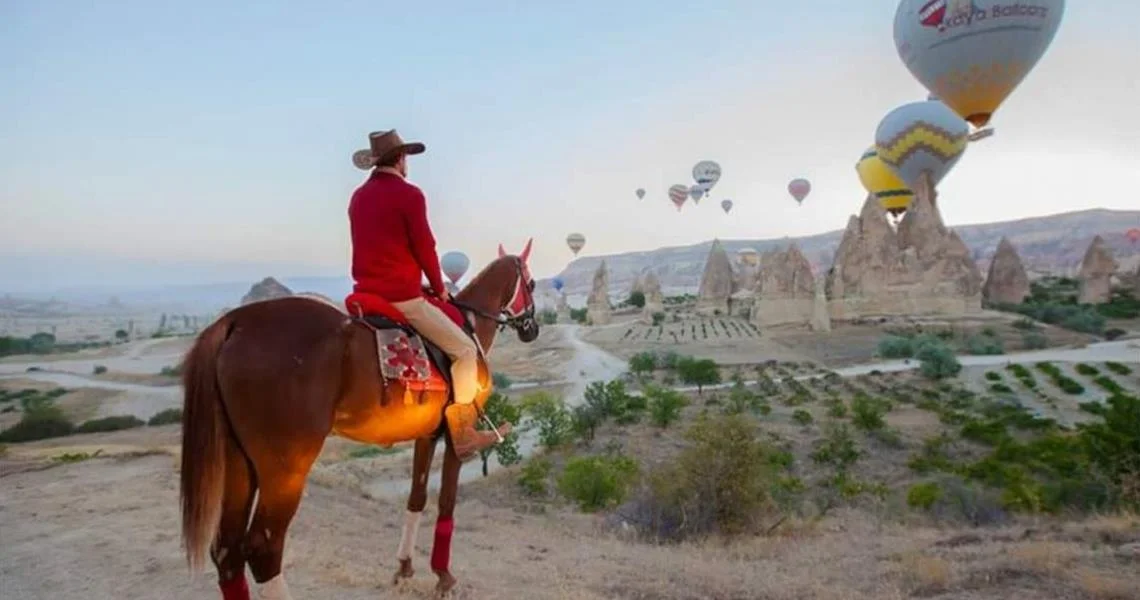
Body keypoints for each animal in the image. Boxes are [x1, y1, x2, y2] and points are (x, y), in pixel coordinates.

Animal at [178, 238, 542, 597]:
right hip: (285, 469)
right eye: (532, 284)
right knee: (263, 547)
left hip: (238, 461)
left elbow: (417, 498)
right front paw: (443, 576)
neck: (469, 323)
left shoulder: (426, 434)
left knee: (226, 551)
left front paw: (404, 568)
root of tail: (234, 323)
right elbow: (446, 503)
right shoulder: (456, 438)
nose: (532, 328)